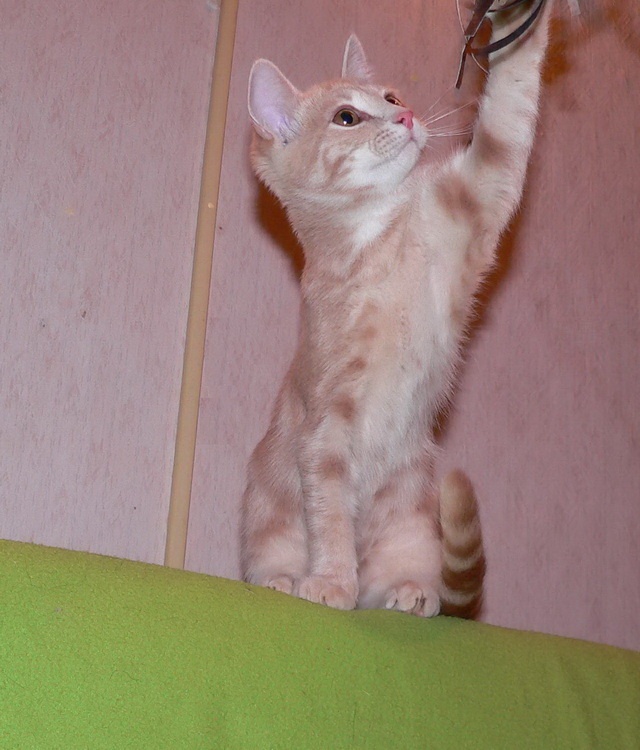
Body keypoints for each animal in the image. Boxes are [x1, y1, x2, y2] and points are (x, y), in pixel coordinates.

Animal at [240, 0, 552, 616]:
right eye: (346, 117)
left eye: (389, 95)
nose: (406, 117)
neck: (381, 239)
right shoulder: (327, 423)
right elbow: (330, 512)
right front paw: (331, 579)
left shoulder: (478, 193)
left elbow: (511, 104)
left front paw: (517, 19)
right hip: (267, 521)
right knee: (273, 557)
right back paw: (283, 580)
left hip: (414, 523)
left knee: (395, 577)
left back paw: (411, 591)